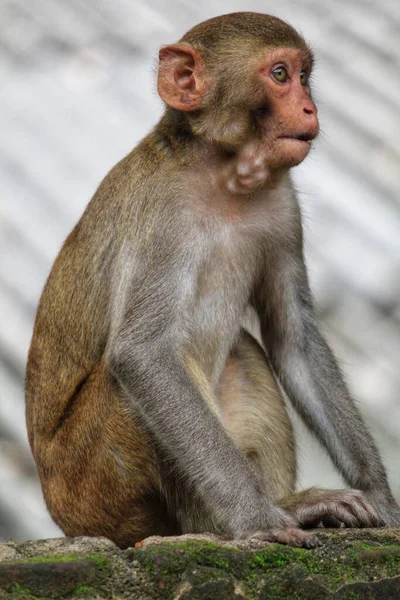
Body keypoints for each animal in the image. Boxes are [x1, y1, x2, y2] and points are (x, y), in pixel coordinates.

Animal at [25, 12, 400, 548]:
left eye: (304, 76)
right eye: (280, 75)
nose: (309, 107)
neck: (222, 174)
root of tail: (62, 514)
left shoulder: (282, 206)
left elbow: (293, 339)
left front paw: (382, 499)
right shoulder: (163, 215)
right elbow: (143, 355)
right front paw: (258, 519)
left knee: (244, 349)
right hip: (91, 492)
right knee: (135, 379)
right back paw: (230, 522)